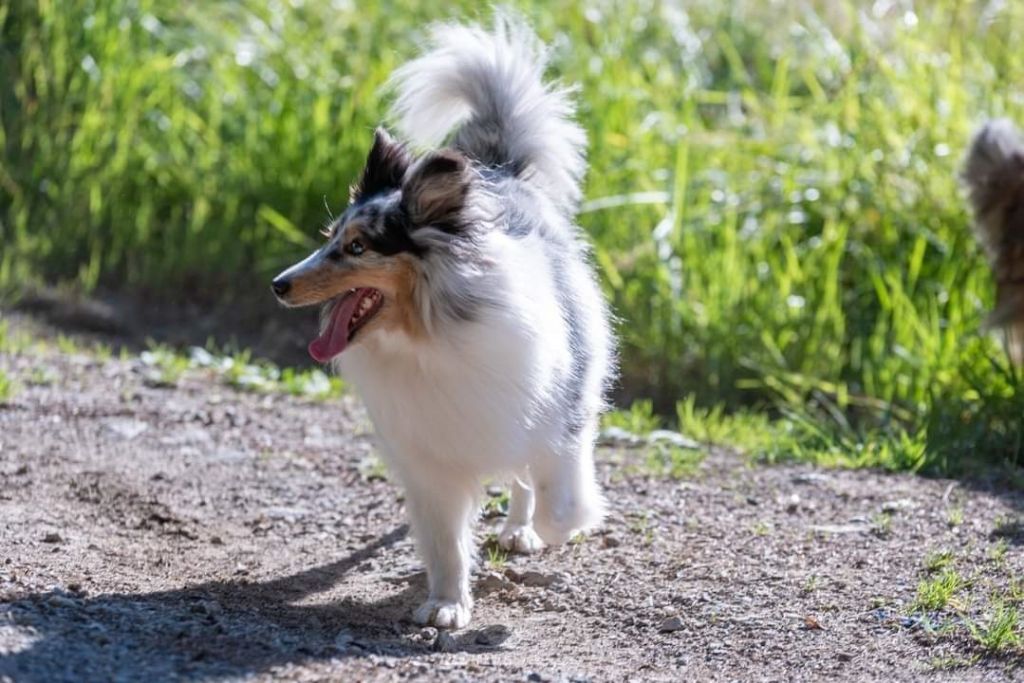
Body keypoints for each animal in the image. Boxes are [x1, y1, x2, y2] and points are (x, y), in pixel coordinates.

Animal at [268, 15, 610, 626]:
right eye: (331, 237)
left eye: (357, 247)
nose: (278, 285)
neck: (429, 338)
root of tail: (498, 169)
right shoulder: (429, 461)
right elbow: (446, 541)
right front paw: (447, 607)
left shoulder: (560, 424)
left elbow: (559, 501)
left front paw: (552, 529)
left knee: (526, 482)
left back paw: (520, 531)